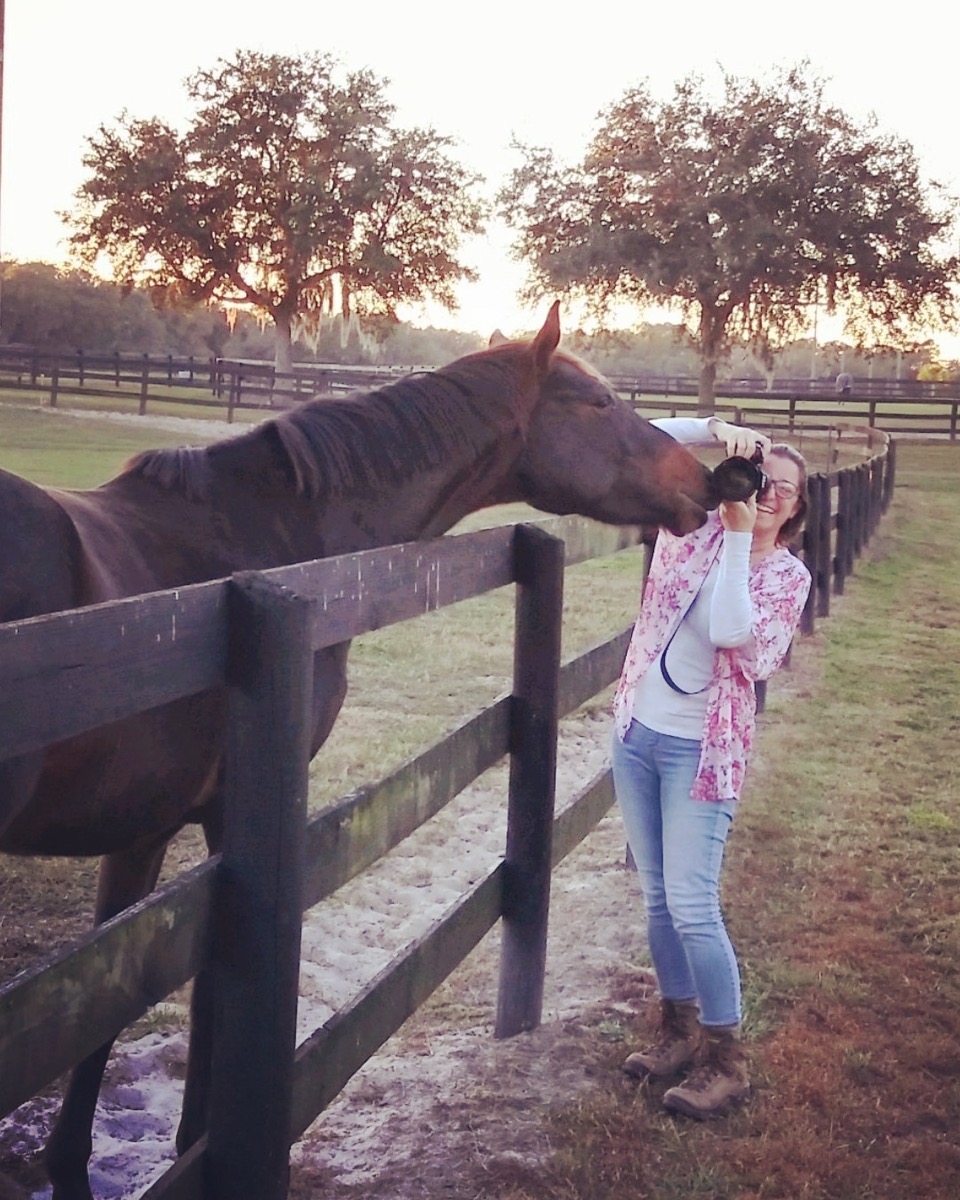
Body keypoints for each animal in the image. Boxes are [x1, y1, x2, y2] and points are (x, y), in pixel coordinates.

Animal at [0, 302, 718, 1199]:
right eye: (594, 402)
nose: (704, 485)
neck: (278, 542)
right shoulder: (226, 822)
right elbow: (207, 1003)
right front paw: (195, 1147)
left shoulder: (144, 830)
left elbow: (107, 1011)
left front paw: (72, 1163)